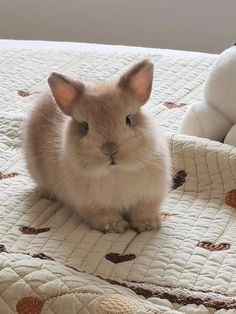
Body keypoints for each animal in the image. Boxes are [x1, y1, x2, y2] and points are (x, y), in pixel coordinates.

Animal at [24, 60, 171, 233]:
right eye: (85, 127)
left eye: (128, 120)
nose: (110, 149)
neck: (115, 172)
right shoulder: (94, 206)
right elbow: (105, 217)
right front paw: (117, 226)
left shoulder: (147, 198)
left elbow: (142, 211)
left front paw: (148, 225)